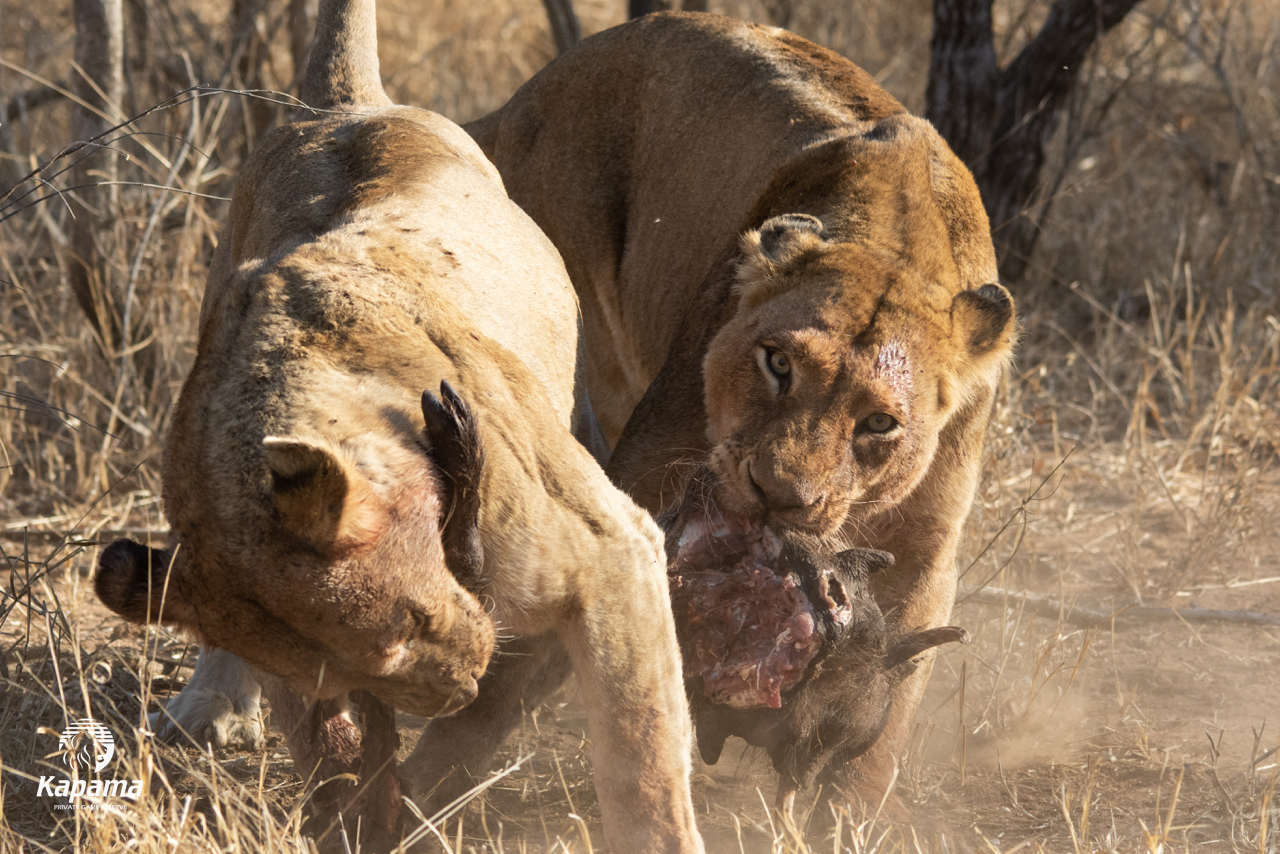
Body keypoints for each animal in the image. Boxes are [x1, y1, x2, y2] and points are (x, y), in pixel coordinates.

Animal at [93, 1, 702, 851]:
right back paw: (207, 707)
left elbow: (641, 759)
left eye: (403, 627)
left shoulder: (614, 554)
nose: (462, 687)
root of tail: (342, 106)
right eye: (341, 681)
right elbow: (338, 762)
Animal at [466, 11, 1016, 813]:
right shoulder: (648, 477)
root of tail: (528, 92)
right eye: (777, 363)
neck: (898, 244)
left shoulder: (927, 547)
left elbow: (886, 720)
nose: (776, 495)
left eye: (880, 423)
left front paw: (847, 814)